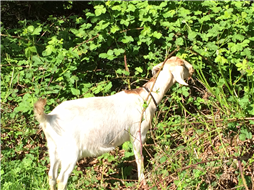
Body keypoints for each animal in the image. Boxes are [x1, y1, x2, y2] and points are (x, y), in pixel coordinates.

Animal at [33, 55, 192, 189]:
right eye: (183, 64)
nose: (192, 69)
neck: (146, 97)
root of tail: (49, 117)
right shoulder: (138, 134)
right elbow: (139, 158)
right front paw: (143, 182)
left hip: (53, 148)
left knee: (51, 176)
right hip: (70, 151)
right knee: (61, 179)